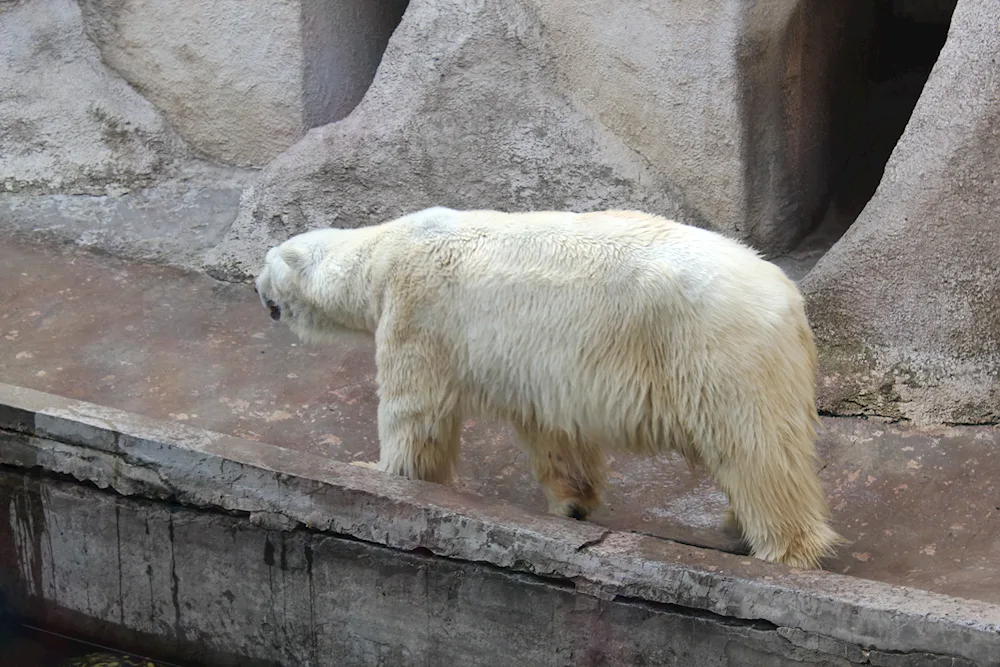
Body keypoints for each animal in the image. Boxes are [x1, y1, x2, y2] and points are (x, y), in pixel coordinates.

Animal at [254, 207, 840, 568]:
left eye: (265, 262)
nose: (256, 288)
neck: (387, 249)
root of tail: (788, 297)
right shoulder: (539, 367)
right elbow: (552, 430)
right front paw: (573, 504)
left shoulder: (418, 314)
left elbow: (415, 413)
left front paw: (379, 473)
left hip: (716, 350)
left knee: (755, 448)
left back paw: (783, 547)